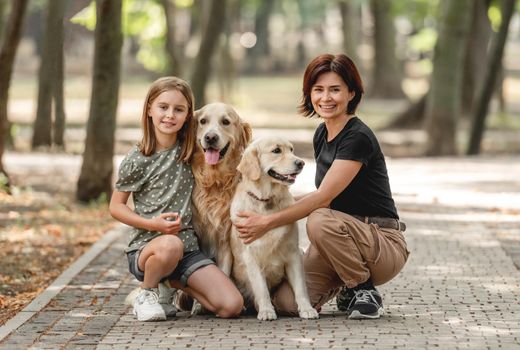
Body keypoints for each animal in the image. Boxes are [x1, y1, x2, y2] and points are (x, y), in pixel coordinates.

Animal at [231, 136, 318, 320]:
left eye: (291, 149)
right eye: (276, 151)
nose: (301, 163)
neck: (266, 200)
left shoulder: (293, 253)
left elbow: (300, 287)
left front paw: (306, 309)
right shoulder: (251, 257)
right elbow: (261, 288)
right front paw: (266, 311)